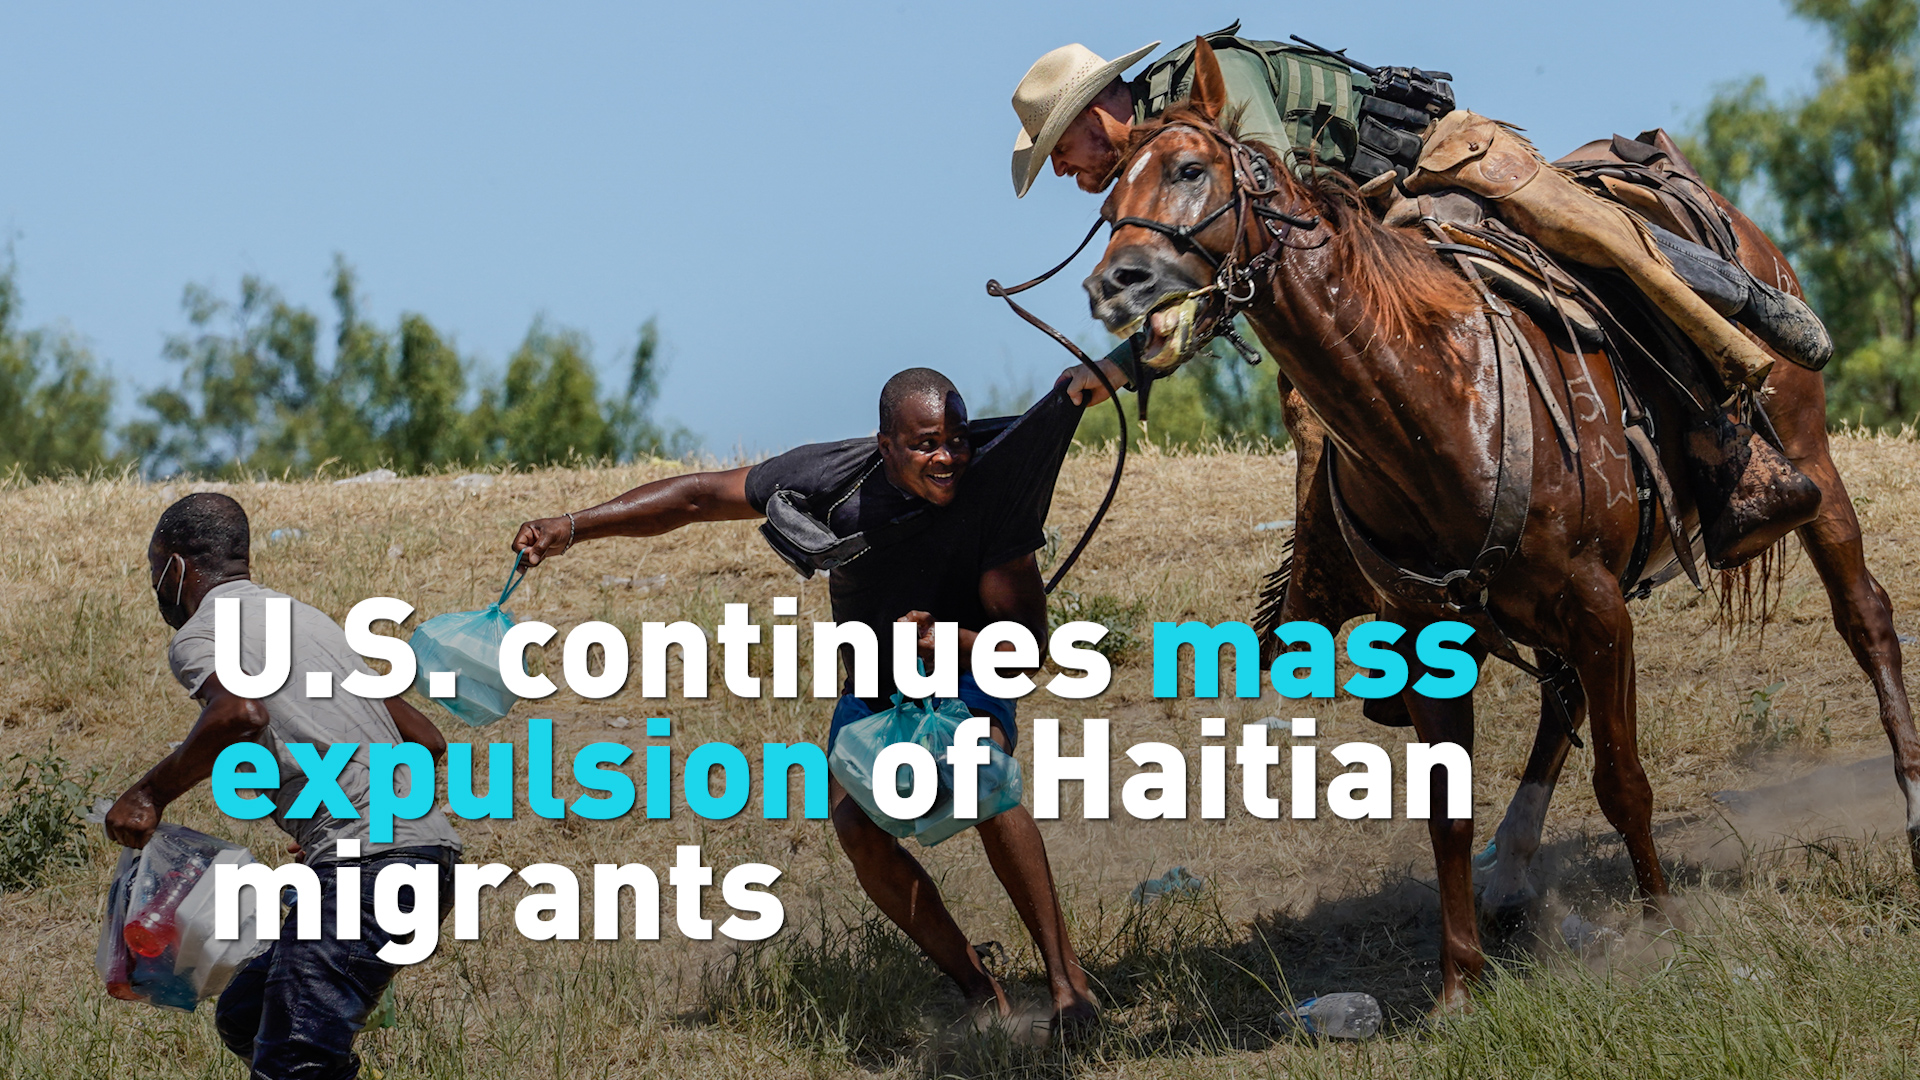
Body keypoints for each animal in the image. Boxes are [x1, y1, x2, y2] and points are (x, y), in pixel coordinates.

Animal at [1082, 39, 1920, 1008]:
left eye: (1189, 169)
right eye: (1108, 200)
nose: (1113, 284)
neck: (1433, 397)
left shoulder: (1599, 604)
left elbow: (1623, 779)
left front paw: (1666, 928)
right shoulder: (1434, 634)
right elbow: (1447, 811)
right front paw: (1457, 982)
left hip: (1809, 455)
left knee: (1866, 616)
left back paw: (1910, 806)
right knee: (1562, 702)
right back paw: (1513, 872)